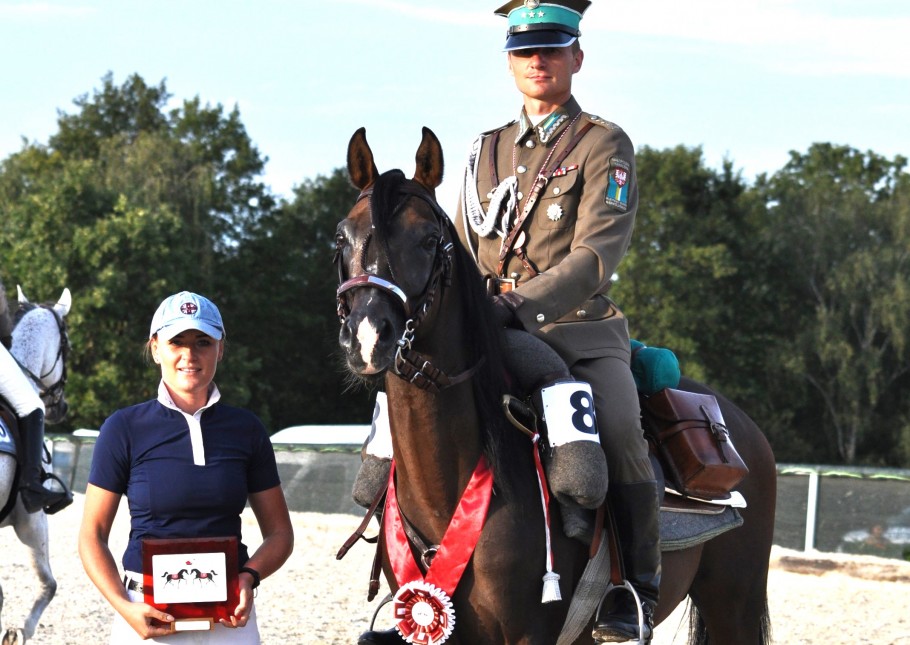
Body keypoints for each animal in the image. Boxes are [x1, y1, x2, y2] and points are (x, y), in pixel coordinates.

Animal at [334, 127, 776, 644]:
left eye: (427, 239)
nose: (368, 336)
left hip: (734, 604)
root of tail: (740, 426)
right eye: (341, 237)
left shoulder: (531, 633)